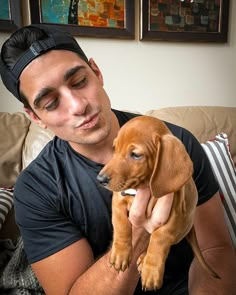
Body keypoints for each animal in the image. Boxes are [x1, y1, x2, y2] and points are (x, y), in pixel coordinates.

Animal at [97, 115, 218, 292]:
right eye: (115, 149)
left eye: (135, 155)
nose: (100, 179)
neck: (145, 188)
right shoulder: (118, 199)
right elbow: (121, 224)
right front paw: (120, 253)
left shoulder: (175, 217)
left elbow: (159, 238)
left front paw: (152, 271)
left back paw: (144, 258)